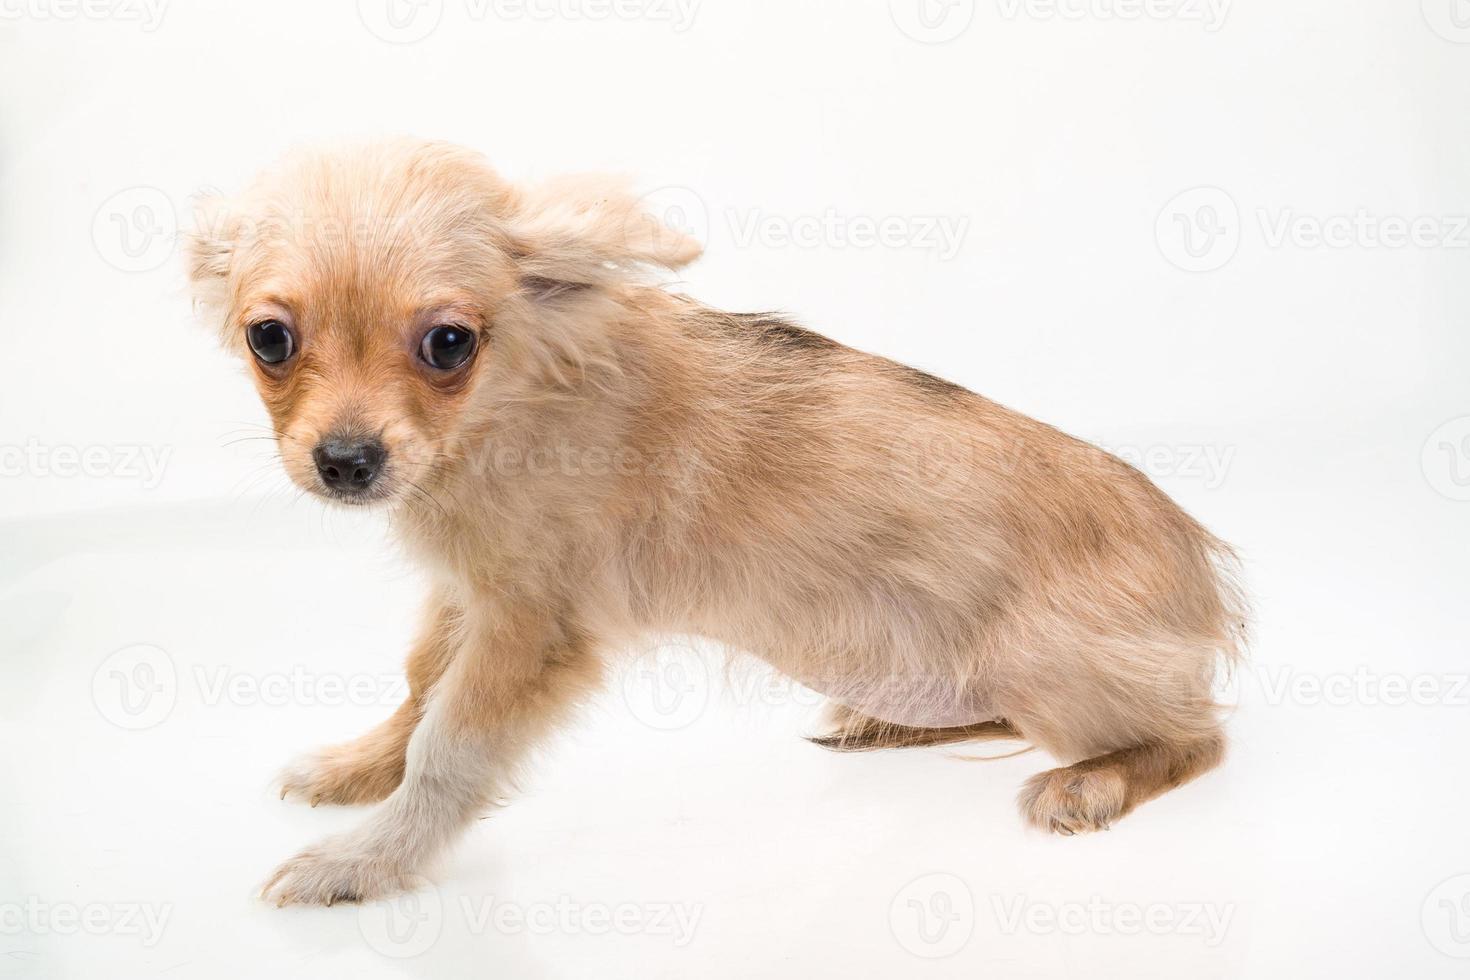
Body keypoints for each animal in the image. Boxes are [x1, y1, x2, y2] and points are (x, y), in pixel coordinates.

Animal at [180, 138, 1240, 905]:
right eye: (269, 338)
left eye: (448, 343)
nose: (346, 462)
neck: (511, 405)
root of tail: (1208, 582)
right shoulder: (467, 593)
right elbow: (416, 689)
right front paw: (359, 769)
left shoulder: (530, 630)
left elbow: (449, 749)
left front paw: (362, 863)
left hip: (1044, 667)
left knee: (1197, 739)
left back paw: (1094, 780)